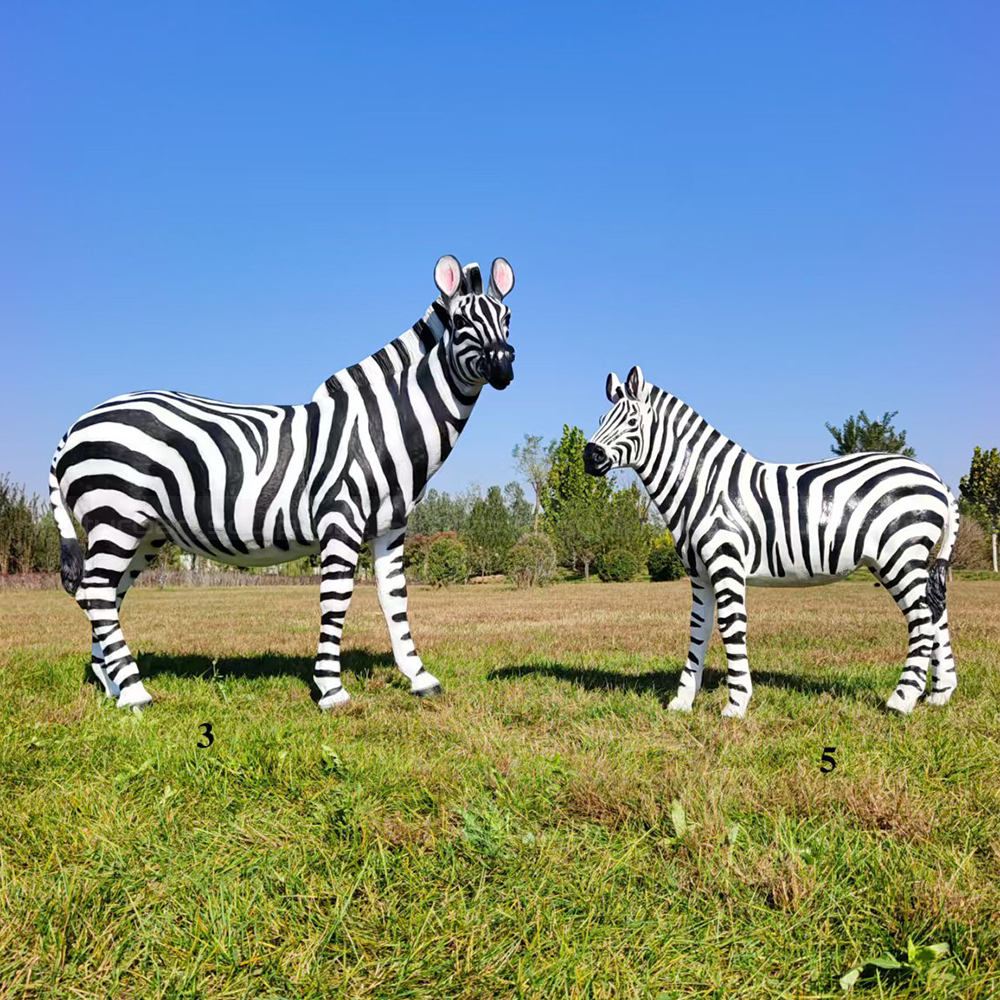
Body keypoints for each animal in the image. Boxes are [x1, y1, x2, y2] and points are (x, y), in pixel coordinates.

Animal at [49, 255, 516, 711]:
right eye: (461, 321)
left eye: (508, 317)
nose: (504, 366)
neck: (383, 428)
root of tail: (74, 427)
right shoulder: (340, 520)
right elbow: (336, 600)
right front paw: (331, 690)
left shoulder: (390, 528)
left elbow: (395, 598)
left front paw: (419, 678)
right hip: (116, 516)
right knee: (96, 591)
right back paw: (135, 692)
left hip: (144, 532)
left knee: (105, 595)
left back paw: (112, 686)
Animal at [583, 366, 959, 718]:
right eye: (601, 420)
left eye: (632, 421)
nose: (590, 456)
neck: (704, 487)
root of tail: (937, 479)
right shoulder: (699, 574)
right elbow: (698, 630)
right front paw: (682, 701)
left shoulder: (726, 563)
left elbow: (731, 626)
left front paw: (736, 704)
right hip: (905, 561)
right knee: (935, 611)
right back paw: (940, 693)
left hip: (899, 555)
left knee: (921, 618)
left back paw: (903, 699)